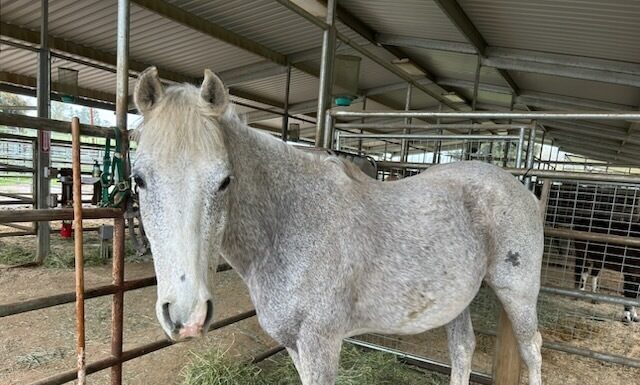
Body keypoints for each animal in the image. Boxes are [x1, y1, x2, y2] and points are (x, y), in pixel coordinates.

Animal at [132, 67, 544, 382]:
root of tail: (524, 191)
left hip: (518, 294)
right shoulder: (295, 345)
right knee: (462, 349)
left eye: (224, 180)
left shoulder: (321, 344)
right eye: (139, 179)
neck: (290, 225)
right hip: (457, 300)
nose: (187, 315)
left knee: (532, 350)